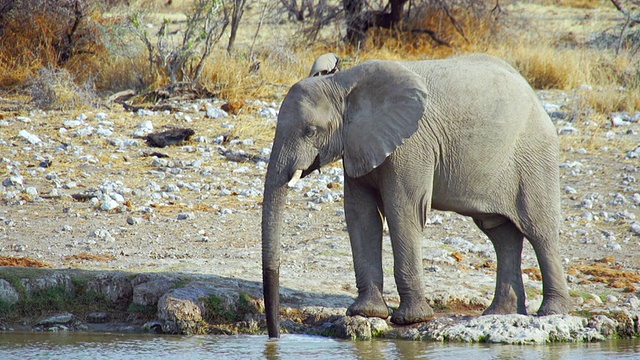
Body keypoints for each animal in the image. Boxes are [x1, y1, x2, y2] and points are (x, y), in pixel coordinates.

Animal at [262, 52, 572, 338]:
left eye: (310, 131)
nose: (275, 336)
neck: (342, 83)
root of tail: (533, 94)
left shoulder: (412, 144)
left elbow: (403, 211)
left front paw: (410, 319)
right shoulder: (358, 143)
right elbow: (361, 216)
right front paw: (366, 313)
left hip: (534, 155)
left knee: (539, 231)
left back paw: (551, 313)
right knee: (501, 234)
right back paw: (500, 313)